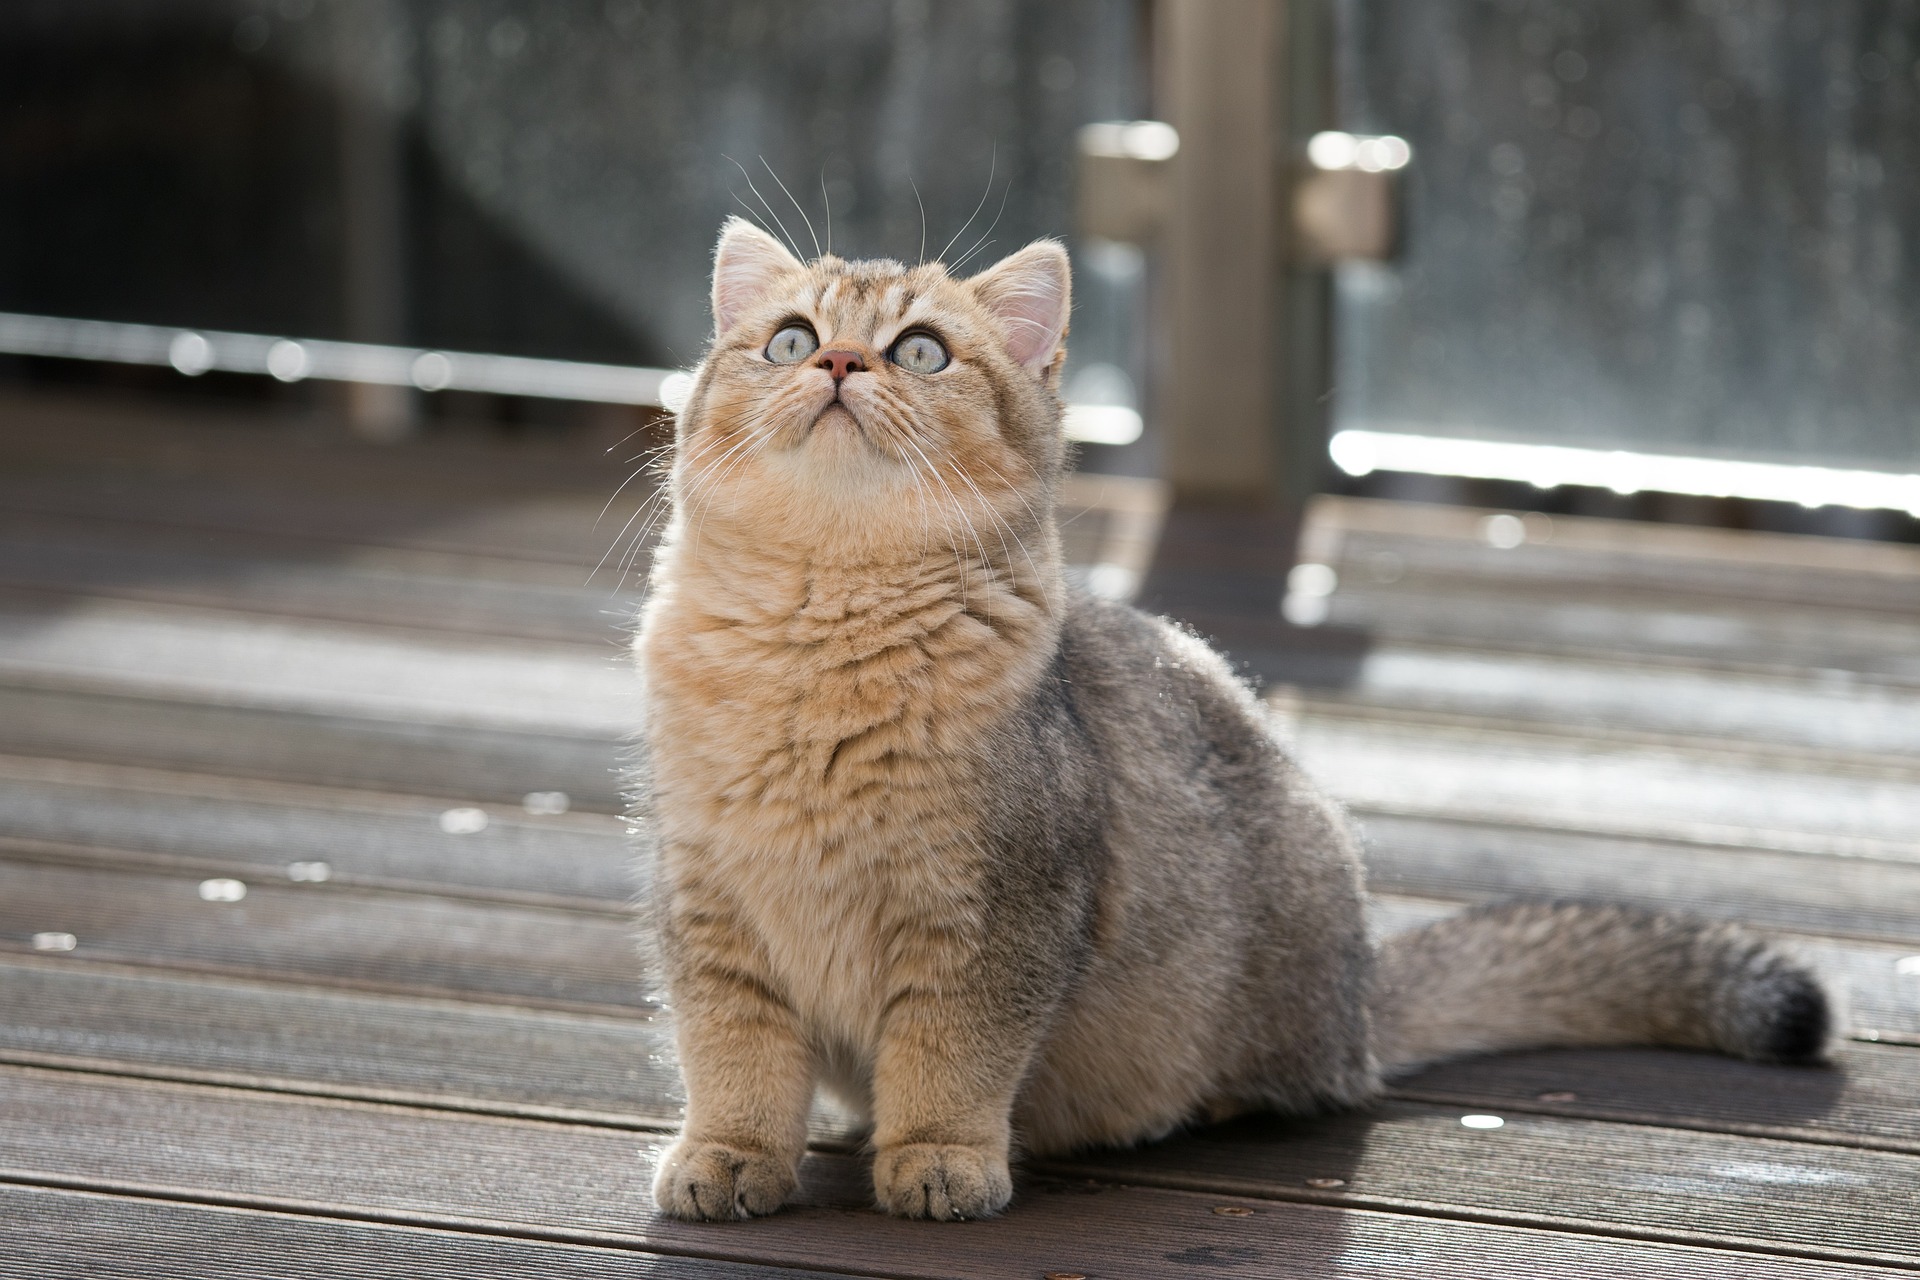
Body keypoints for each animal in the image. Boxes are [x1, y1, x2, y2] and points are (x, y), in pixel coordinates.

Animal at [629, 214, 1827, 1228]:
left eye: (920, 352)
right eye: (789, 339)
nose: (837, 364)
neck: (818, 638)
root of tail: (1361, 997)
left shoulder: (999, 916)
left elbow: (950, 1057)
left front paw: (939, 1156)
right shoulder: (708, 907)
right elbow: (731, 1053)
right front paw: (731, 1154)